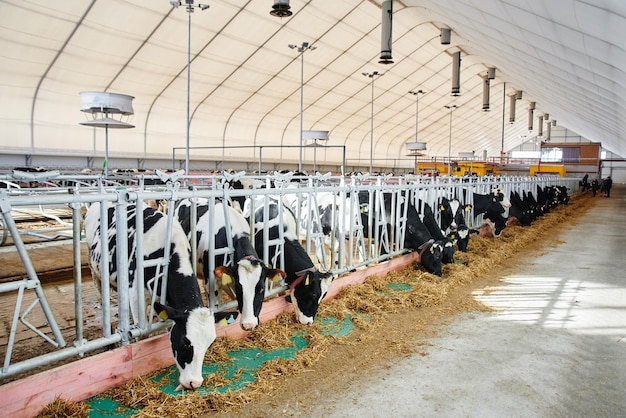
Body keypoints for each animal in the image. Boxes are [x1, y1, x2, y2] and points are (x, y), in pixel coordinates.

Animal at [83, 202, 219, 392]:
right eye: (185, 342)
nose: (194, 383)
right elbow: (142, 335)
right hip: (96, 273)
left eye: (210, 343)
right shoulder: (136, 296)